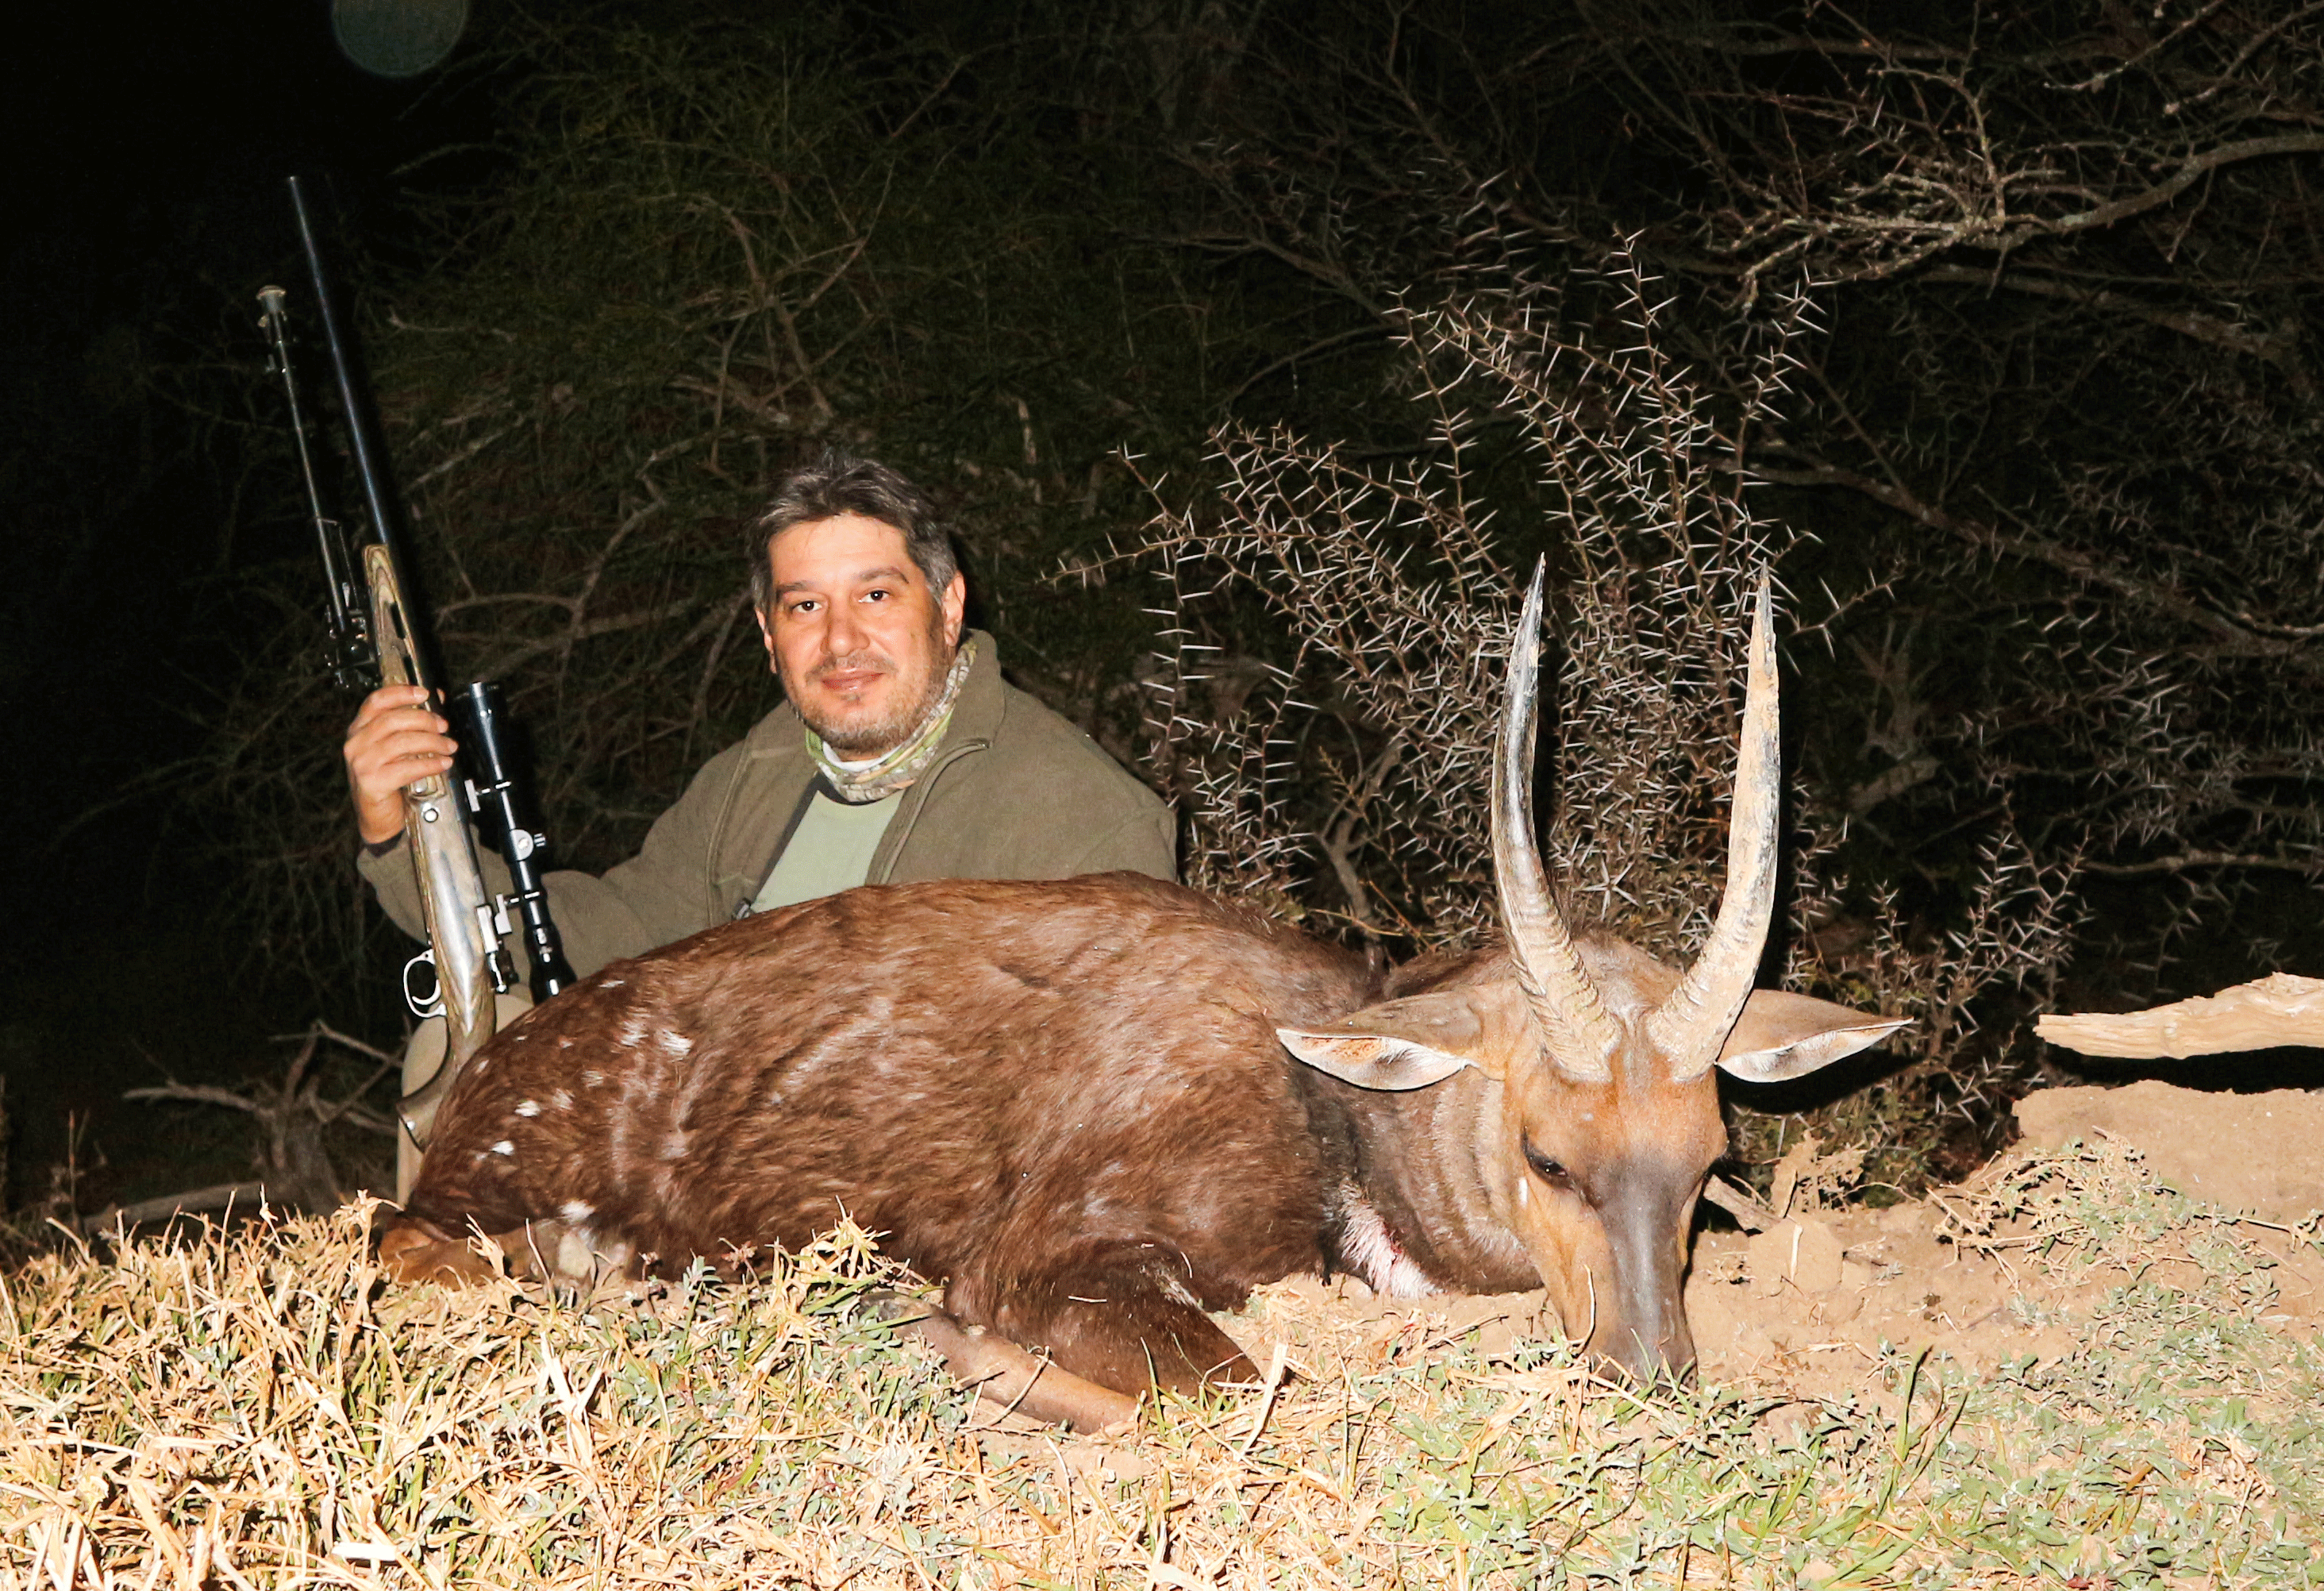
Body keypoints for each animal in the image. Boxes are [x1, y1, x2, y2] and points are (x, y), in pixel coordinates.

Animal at [381, 572, 1905, 1432]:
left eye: (1707, 1165)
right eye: (1547, 1156)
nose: (1654, 1377)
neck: (1326, 1114)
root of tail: (486, 1080)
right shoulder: (1054, 1252)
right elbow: (1230, 1390)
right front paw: (948, 1345)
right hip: (484, 1212)